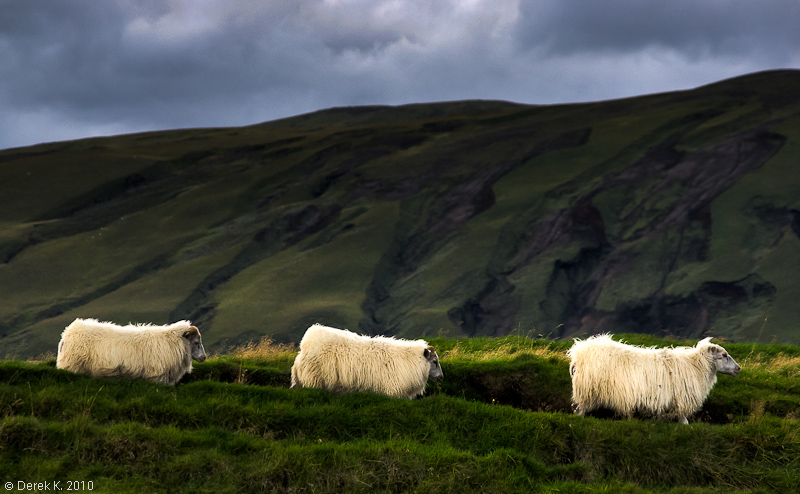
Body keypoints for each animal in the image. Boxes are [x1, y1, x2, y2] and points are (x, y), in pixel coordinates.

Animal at [55, 318, 206, 384]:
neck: (173, 343)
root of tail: (68, 334)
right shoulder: (156, 377)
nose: (204, 357)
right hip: (73, 366)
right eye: (196, 342)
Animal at [290, 322, 444, 400]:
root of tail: (305, 345)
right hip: (313, 380)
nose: (442, 377)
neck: (410, 360)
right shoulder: (393, 393)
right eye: (434, 361)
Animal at [564, 334, 740, 422]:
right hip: (586, 390)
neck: (695, 366)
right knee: (579, 410)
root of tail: (577, 355)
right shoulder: (680, 400)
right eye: (724, 355)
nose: (739, 368)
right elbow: (684, 421)